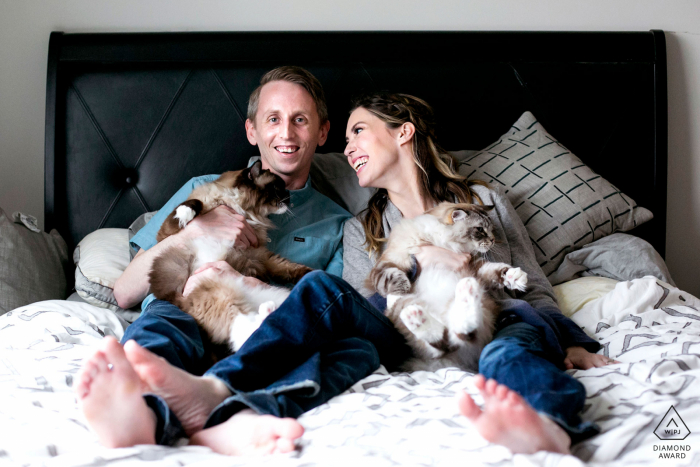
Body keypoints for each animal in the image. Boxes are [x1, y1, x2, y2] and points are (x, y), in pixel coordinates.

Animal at [150, 161, 312, 352]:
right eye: (277, 188)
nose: (289, 197)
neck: (244, 211)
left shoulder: (260, 255)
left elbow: (289, 267)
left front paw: (312, 272)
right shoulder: (167, 235)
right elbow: (193, 204)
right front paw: (186, 213)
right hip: (220, 296)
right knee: (244, 334)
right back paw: (267, 311)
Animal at [370, 203, 528, 372]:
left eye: (491, 229)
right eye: (480, 230)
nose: (492, 240)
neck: (442, 242)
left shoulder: (475, 266)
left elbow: (497, 269)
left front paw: (517, 277)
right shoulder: (392, 259)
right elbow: (391, 276)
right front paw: (400, 290)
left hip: (481, 308)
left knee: (455, 337)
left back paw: (464, 298)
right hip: (407, 314)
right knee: (443, 343)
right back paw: (417, 316)